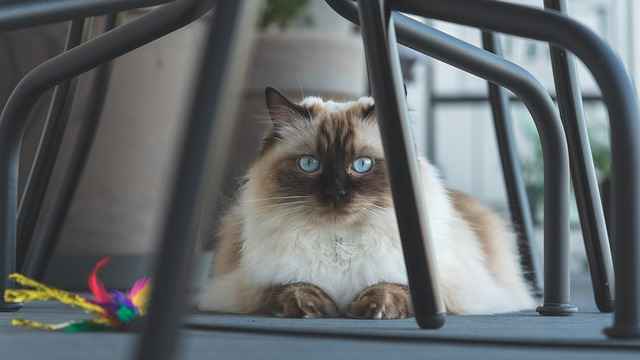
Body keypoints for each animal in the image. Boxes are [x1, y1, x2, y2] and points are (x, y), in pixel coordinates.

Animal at [199, 87, 536, 318]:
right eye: (309, 164)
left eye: (361, 165)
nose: (336, 193)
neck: (338, 241)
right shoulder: (249, 285)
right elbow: (289, 288)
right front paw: (310, 306)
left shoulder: (444, 287)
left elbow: (391, 287)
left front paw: (374, 308)